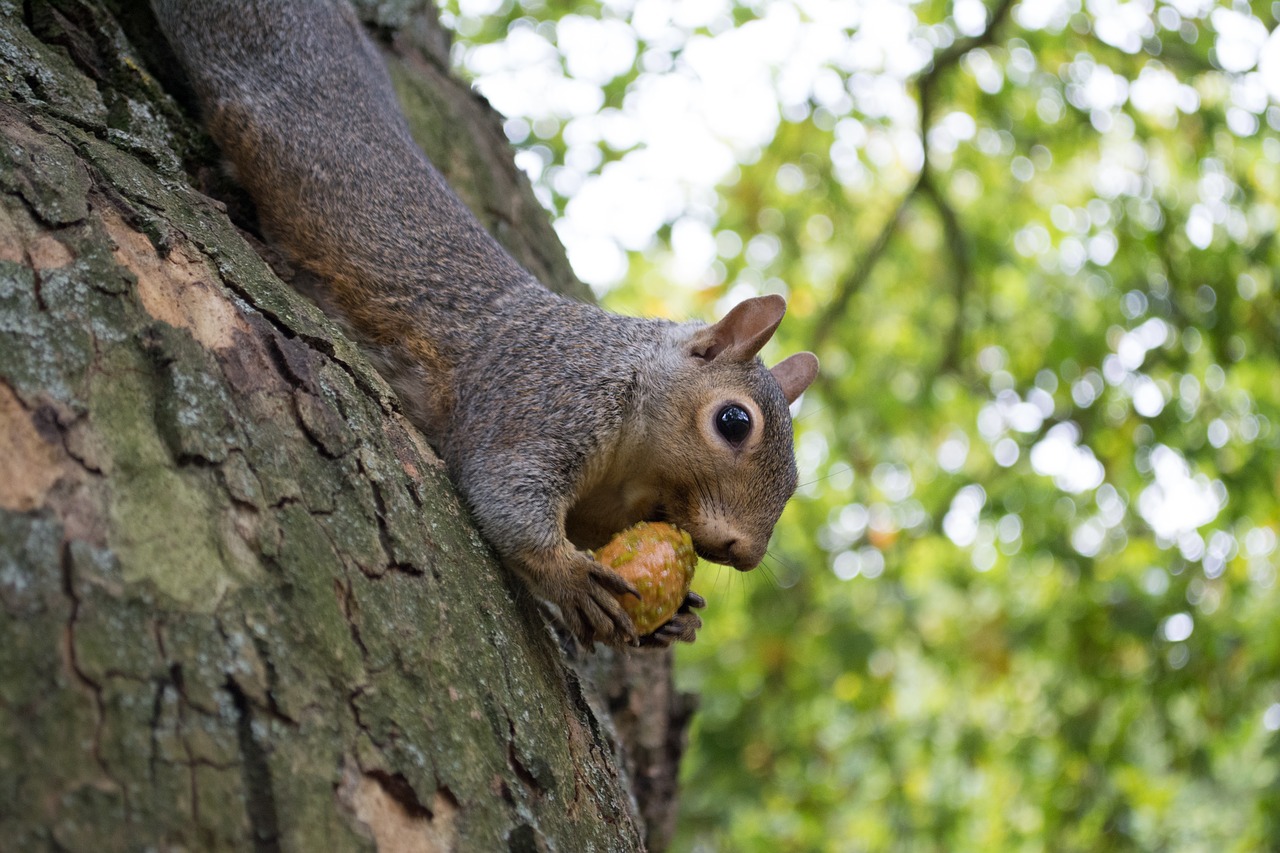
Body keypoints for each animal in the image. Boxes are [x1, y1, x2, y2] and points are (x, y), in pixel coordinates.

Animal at [147, 0, 808, 648]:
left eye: (796, 481)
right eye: (733, 422)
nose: (745, 553)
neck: (635, 467)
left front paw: (674, 619)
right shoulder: (541, 397)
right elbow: (504, 495)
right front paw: (570, 579)